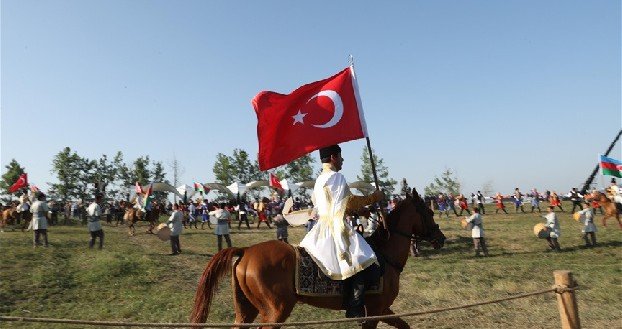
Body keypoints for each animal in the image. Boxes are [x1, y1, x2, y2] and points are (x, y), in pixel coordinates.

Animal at [191, 190, 448, 328]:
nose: (440, 238)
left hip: (247, 310)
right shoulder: (375, 311)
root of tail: (246, 251)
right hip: (275, 311)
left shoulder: (384, 309)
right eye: (429, 211)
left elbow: (404, 325)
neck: (386, 255)